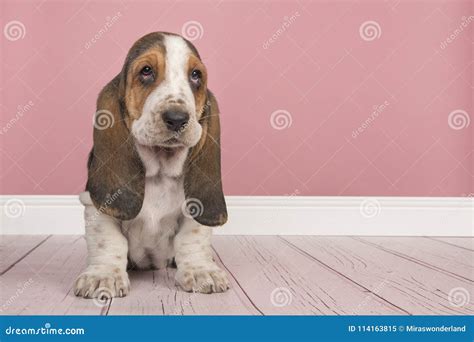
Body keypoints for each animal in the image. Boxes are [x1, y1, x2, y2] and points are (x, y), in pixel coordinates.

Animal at [73, 32, 230, 300]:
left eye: (196, 75)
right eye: (146, 71)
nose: (177, 118)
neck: (159, 171)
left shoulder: (194, 210)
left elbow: (192, 238)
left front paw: (201, 271)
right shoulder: (95, 206)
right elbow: (108, 240)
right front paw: (103, 276)